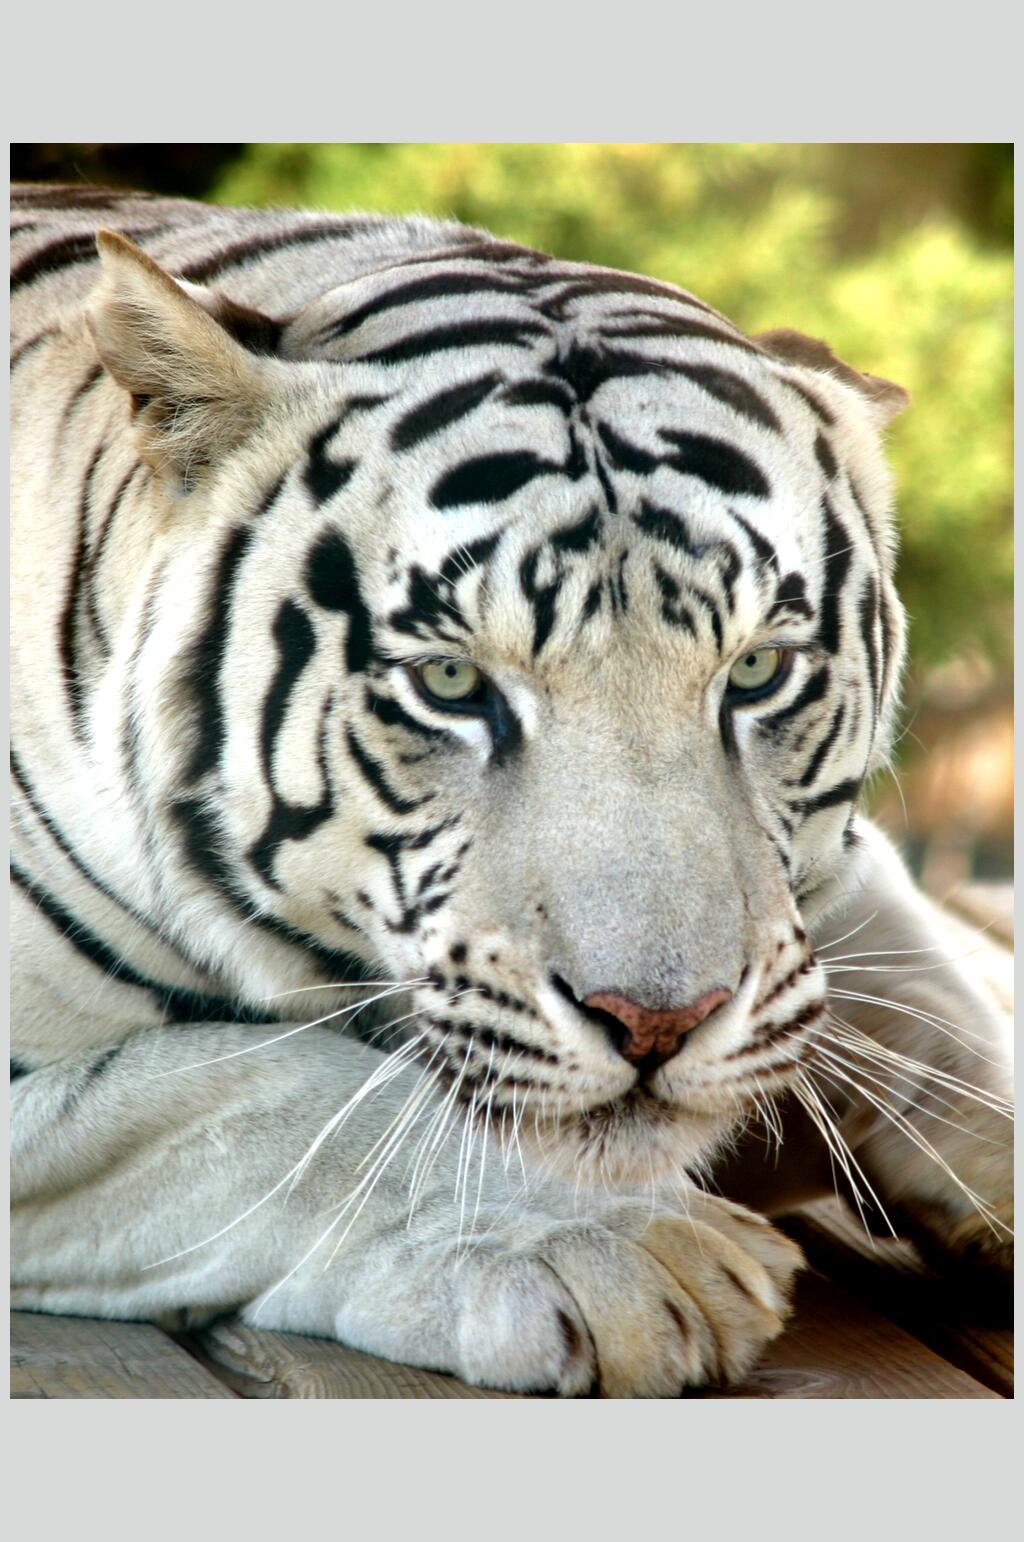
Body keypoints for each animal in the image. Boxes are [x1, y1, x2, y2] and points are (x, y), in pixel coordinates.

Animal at [10, 184, 1012, 1397]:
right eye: (450, 682)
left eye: (758, 671)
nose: (657, 1024)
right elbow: (251, 1096)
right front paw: (624, 1250)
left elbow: (939, 1004)